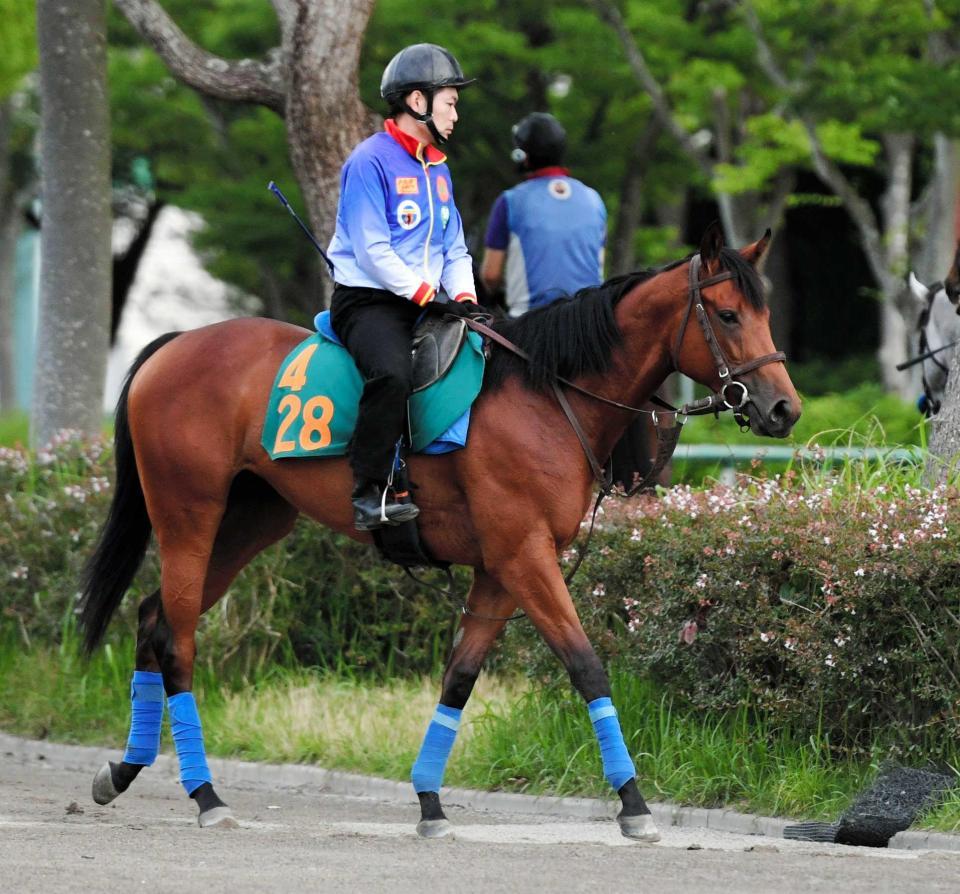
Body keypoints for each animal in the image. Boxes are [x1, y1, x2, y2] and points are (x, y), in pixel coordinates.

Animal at [75, 226, 800, 840]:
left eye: (766, 314)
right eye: (728, 315)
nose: (784, 408)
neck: (545, 394)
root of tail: (175, 344)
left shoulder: (502, 569)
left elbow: (460, 677)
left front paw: (429, 802)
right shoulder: (527, 557)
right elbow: (586, 666)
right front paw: (633, 803)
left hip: (250, 521)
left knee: (154, 618)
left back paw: (124, 770)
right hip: (189, 514)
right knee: (178, 638)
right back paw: (206, 795)